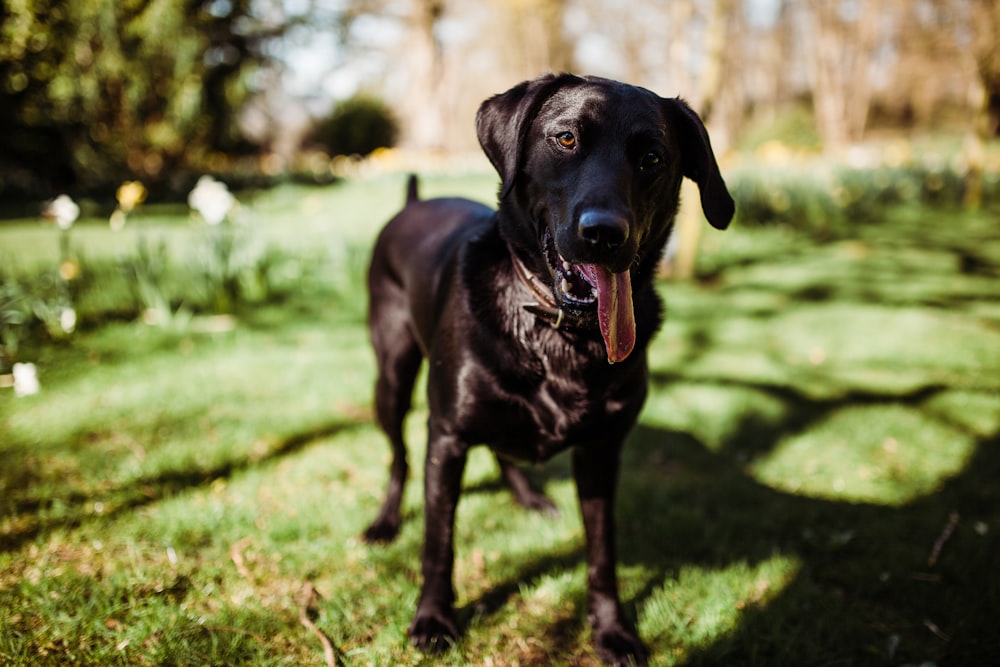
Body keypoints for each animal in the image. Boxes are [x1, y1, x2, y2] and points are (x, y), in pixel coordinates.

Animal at [364, 74, 732, 667]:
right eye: (565, 139)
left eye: (652, 157)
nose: (605, 233)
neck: (561, 332)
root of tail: (415, 202)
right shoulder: (447, 436)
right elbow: (439, 542)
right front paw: (433, 619)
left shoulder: (602, 451)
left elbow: (603, 553)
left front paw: (612, 631)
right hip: (392, 376)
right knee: (398, 456)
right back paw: (386, 521)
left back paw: (529, 497)